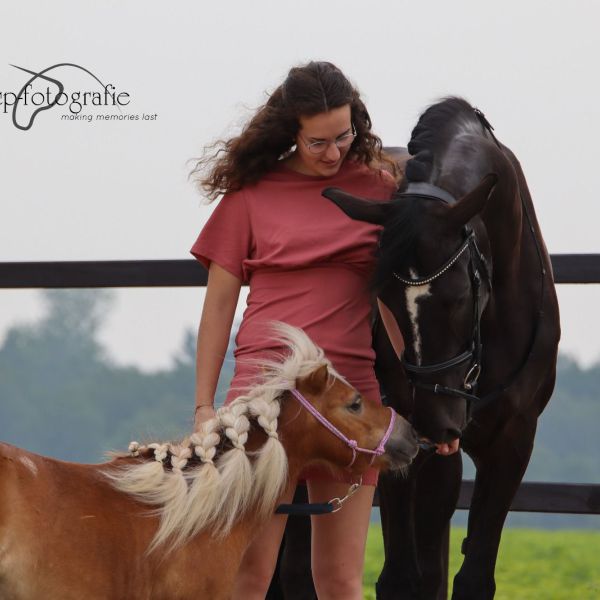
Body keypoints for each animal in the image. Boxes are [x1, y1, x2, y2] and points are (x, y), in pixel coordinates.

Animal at [324, 98, 564, 600]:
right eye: (383, 300)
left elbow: (472, 576)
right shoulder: (413, 445)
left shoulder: (513, 439)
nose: (433, 421)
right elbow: (410, 577)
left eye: (457, 297)